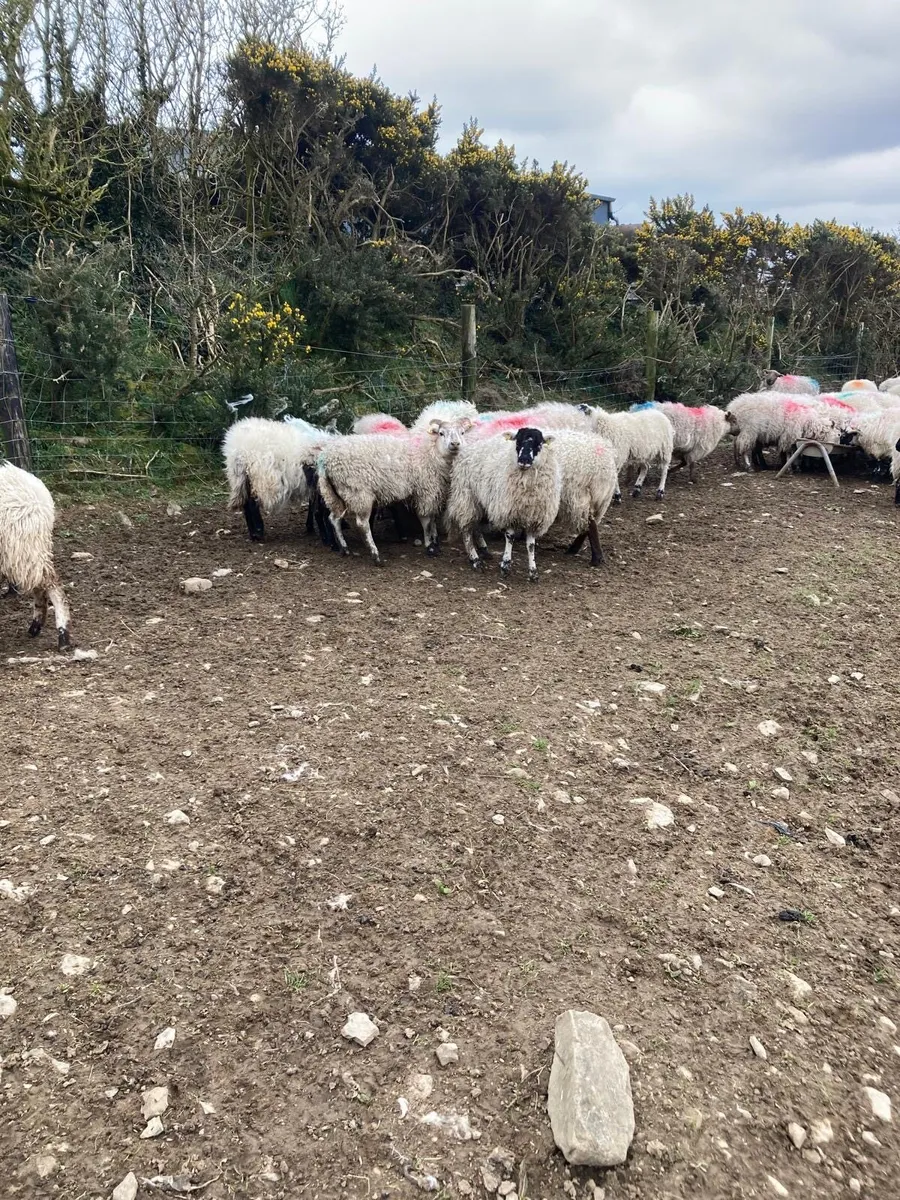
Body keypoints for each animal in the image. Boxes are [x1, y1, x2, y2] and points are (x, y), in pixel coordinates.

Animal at [316, 418, 471, 564]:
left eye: (462, 433)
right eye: (441, 433)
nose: (455, 444)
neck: (431, 452)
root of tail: (327, 461)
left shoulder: (431, 494)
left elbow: (432, 520)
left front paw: (435, 541)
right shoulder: (425, 491)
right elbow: (426, 521)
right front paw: (430, 546)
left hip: (336, 494)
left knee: (334, 518)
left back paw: (344, 548)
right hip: (358, 492)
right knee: (362, 524)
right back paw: (375, 555)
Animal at [446, 427, 562, 582]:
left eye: (539, 444)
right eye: (517, 441)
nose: (524, 460)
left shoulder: (534, 517)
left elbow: (531, 545)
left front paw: (533, 572)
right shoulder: (509, 511)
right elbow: (510, 537)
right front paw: (505, 565)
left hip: (481, 501)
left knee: (476, 526)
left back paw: (484, 550)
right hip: (466, 497)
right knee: (466, 529)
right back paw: (475, 559)